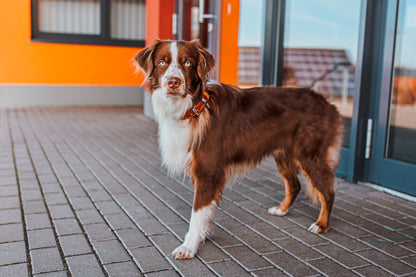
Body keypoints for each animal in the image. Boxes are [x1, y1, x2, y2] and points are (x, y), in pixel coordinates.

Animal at [134, 38, 344, 258]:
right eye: (162, 62)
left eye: (188, 63)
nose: (173, 82)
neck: (194, 108)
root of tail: (326, 101)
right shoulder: (201, 172)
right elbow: (205, 210)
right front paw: (202, 235)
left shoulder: (207, 171)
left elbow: (197, 212)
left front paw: (189, 246)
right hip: (283, 154)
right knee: (294, 185)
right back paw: (281, 210)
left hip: (309, 155)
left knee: (328, 192)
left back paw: (321, 224)